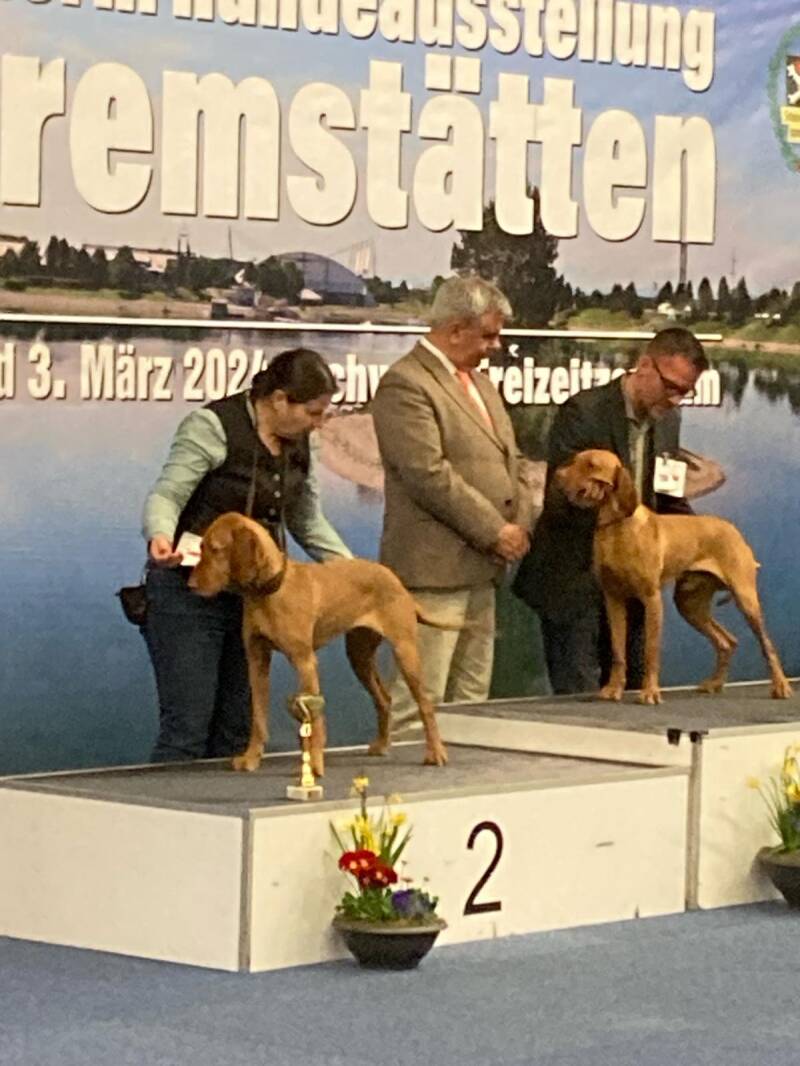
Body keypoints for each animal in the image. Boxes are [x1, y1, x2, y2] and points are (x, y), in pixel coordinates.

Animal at [188, 512, 448, 774]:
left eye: (215, 549)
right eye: (200, 547)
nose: (190, 585)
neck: (269, 592)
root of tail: (396, 580)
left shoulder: (304, 661)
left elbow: (314, 720)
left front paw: (313, 764)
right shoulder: (256, 661)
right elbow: (258, 717)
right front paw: (251, 758)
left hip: (405, 652)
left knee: (426, 705)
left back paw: (435, 753)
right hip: (359, 656)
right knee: (384, 699)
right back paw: (382, 745)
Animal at [554, 449, 792, 705]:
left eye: (591, 465)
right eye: (574, 460)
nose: (557, 475)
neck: (616, 526)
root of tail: (733, 529)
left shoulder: (651, 599)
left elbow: (651, 652)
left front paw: (650, 692)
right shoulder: (613, 600)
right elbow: (618, 651)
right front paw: (613, 688)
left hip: (745, 597)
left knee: (767, 645)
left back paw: (781, 686)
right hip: (689, 604)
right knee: (727, 641)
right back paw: (715, 683)